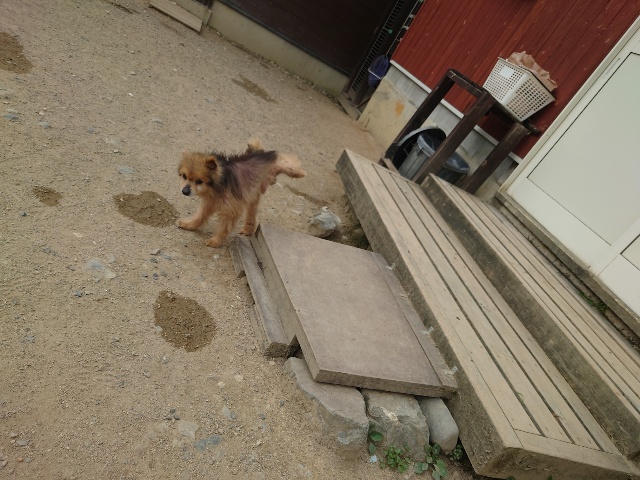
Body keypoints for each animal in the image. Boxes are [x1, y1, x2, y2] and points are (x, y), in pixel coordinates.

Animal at [177, 139, 306, 247]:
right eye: (184, 176)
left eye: (199, 181)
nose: (184, 191)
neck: (220, 183)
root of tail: (261, 154)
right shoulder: (209, 203)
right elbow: (200, 217)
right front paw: (189, 225)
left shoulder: (231, 210)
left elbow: (223, 227)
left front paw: (215, 241)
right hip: (253, 193)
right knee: (252, 212)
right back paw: (248, 229)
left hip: (278, 166)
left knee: (288, 162)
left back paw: (300, 173)